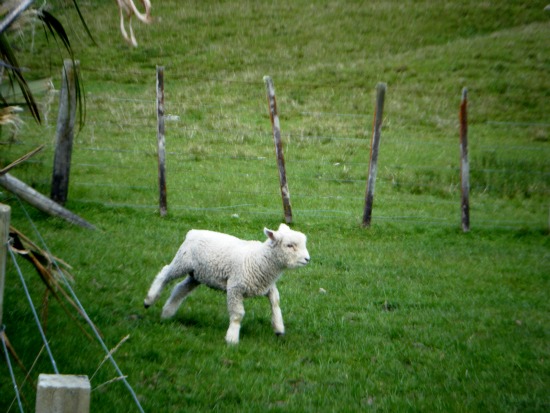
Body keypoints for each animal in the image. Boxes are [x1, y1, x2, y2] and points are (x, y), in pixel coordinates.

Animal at [143, 224, 310, 342]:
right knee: (164, 273)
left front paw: (279, 328)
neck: (259, 260)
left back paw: (167, 313)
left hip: (197, 275)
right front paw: (232, 337)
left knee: (180, 289)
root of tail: (192, 232)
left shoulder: (268, 287)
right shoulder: (235, 287)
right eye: (289, 245)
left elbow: (276, 303)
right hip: (182, 262)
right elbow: (237, 314)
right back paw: (149, 299)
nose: (307, 259)